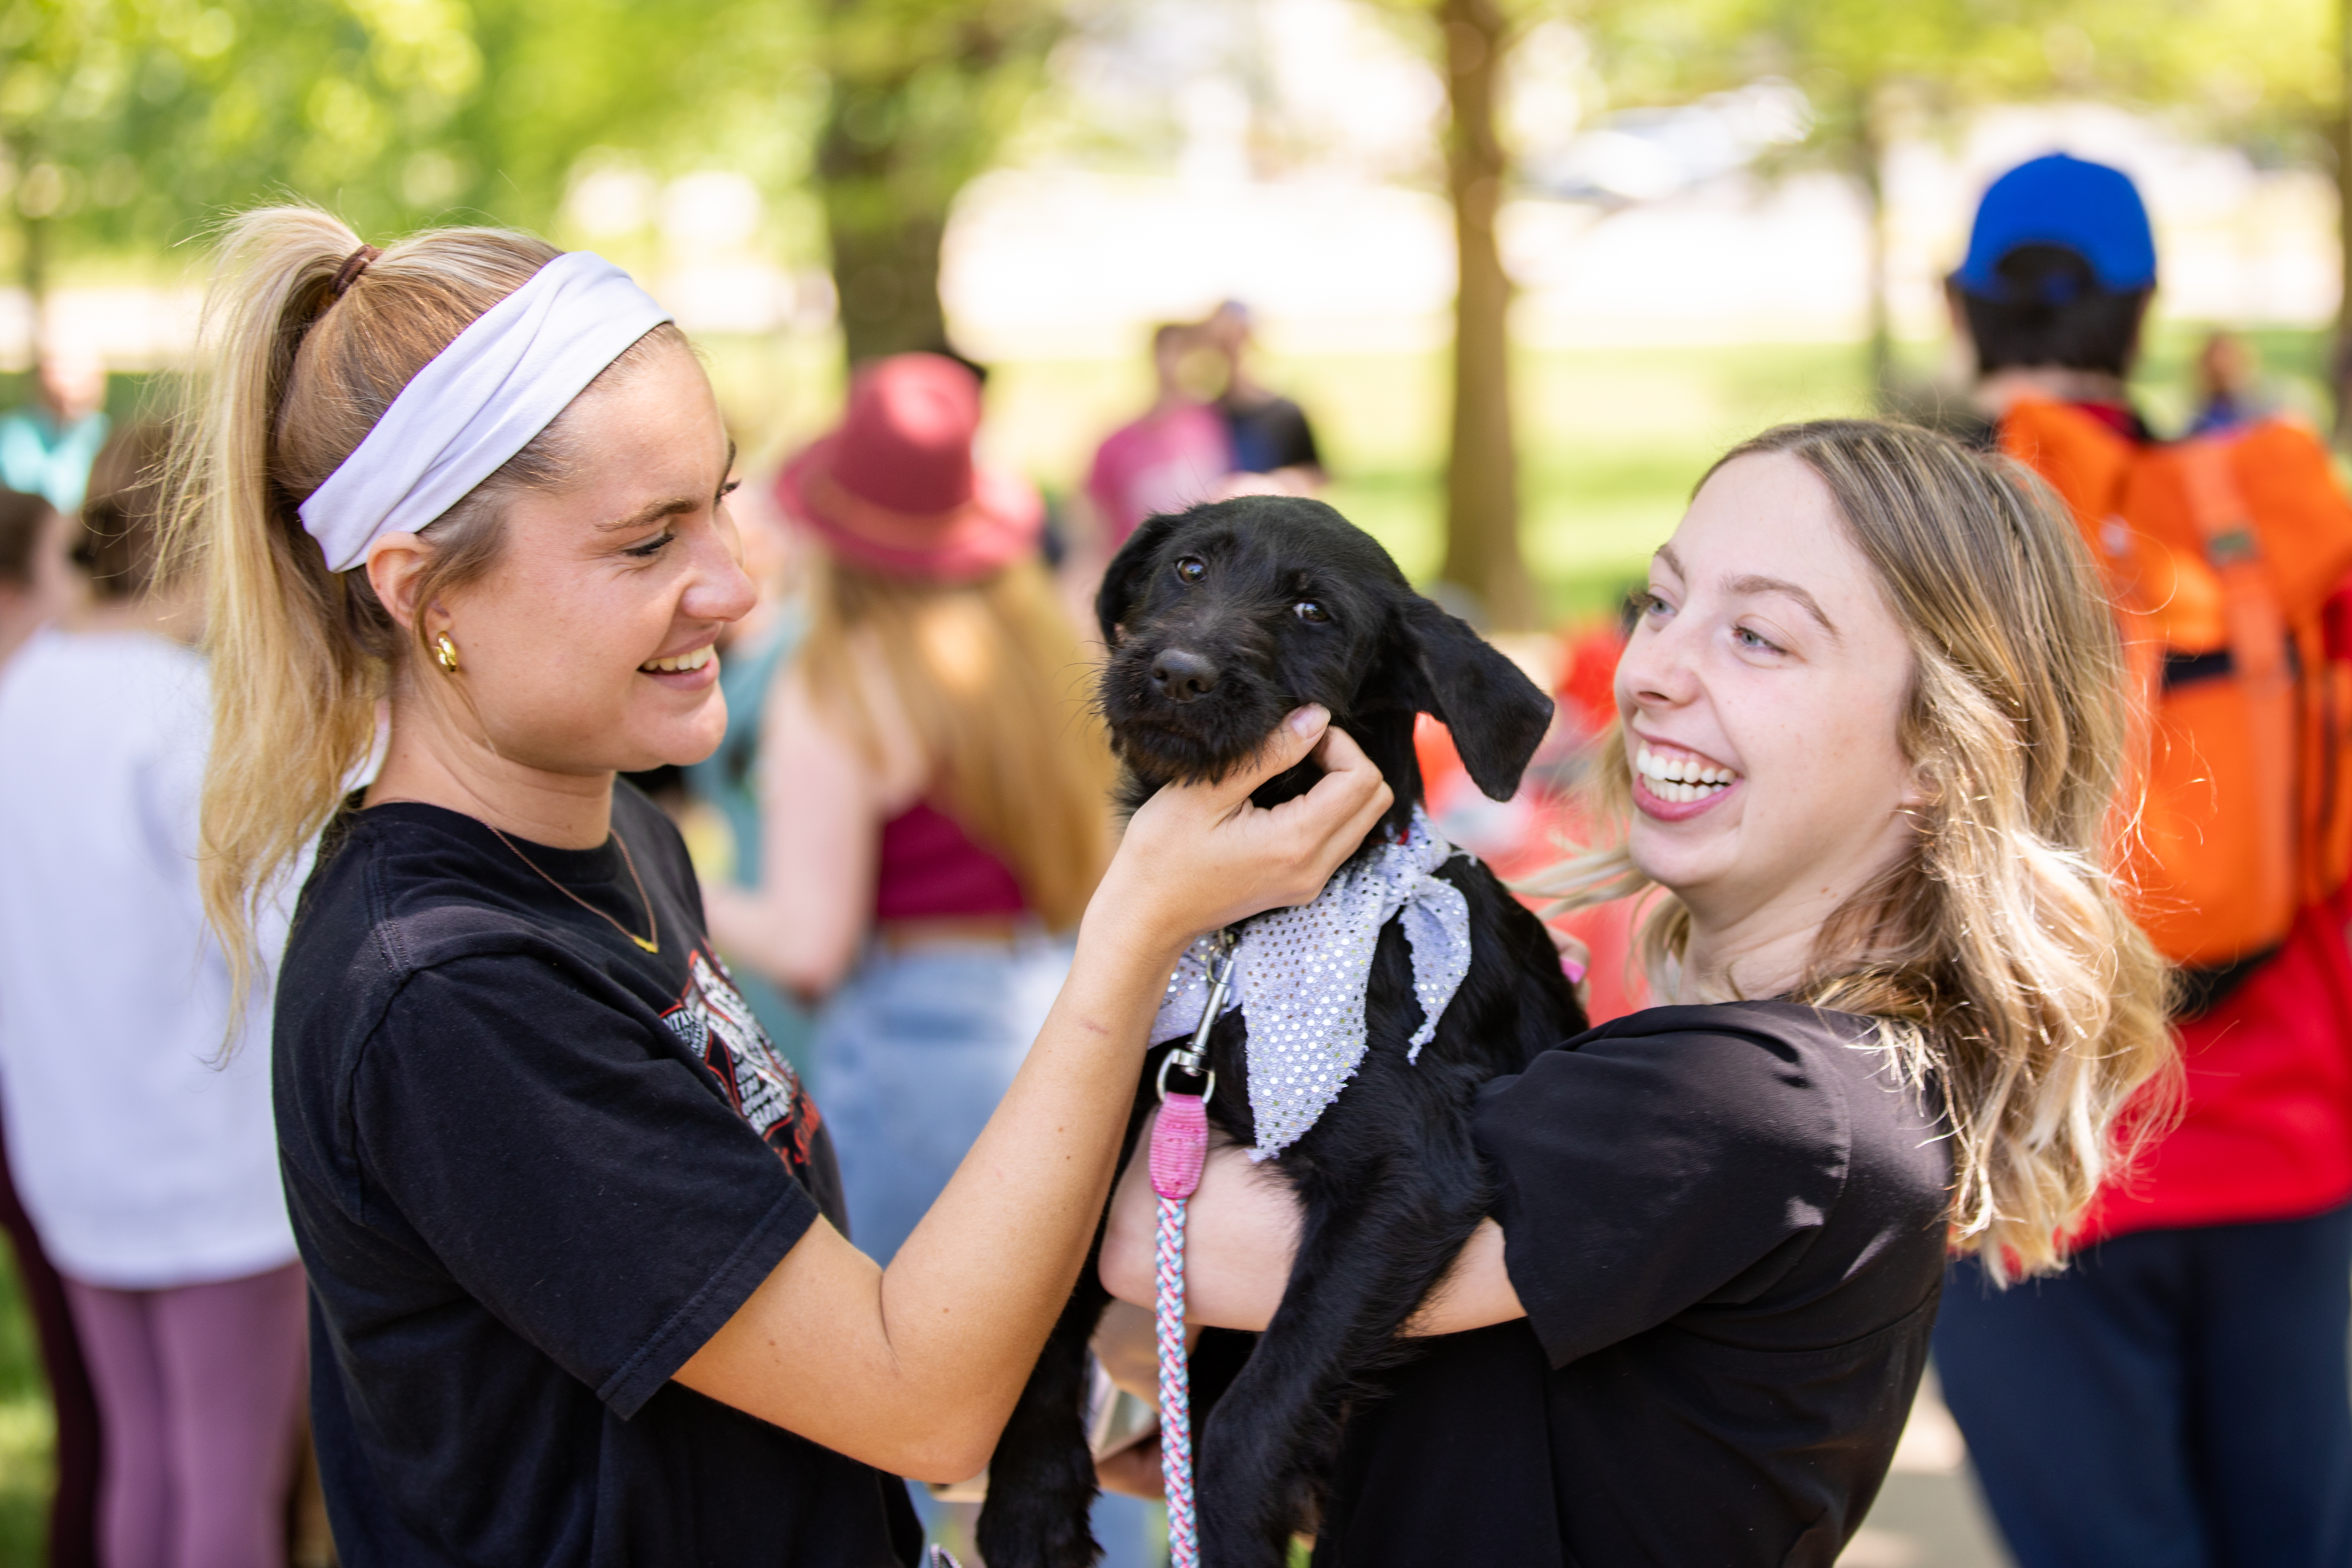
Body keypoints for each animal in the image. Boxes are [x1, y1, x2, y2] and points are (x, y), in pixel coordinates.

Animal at [973, 500, 1580, 1568]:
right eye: (1186, 568)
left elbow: (1252, 1415)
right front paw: (1028, 1499)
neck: (1240, 938)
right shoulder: (1106, 1122)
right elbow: (1045, 1301)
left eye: (1311, 611)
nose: (1177, 673)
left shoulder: (1409, 1176)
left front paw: (1221, 1529)